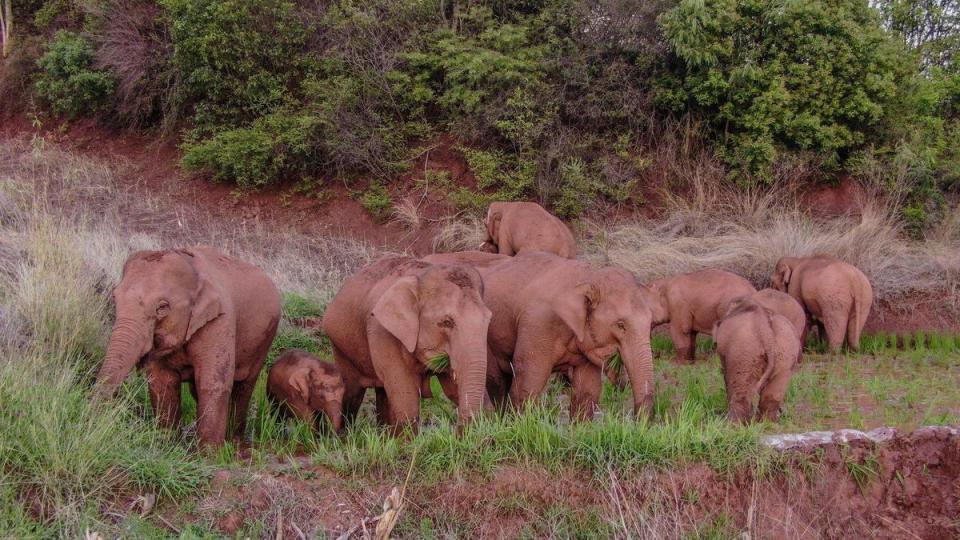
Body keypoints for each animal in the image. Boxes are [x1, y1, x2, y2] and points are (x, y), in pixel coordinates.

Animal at [94, 249, 282, 448]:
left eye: (162, 307)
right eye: (115, 298)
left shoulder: (220, 320)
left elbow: (213, 382)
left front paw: (209, 453)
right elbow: (162, 383)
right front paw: (168, 444)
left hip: (265, 338)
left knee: (243, 386)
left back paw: (235, 442)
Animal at [322, 256, 492, 430]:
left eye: (488, 320)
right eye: (447, 322)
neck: (421, 276)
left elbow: (452, 390)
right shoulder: (383, 332)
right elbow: (406, 401)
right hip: (341, 347)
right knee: (352, 393)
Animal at [432, 251, 656, 420]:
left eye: (650, 322)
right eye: (620, 325)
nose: (638, 423)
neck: (588, 275)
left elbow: (588, 388)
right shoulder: (538, 323)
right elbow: (529, 381)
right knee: (497, 381)